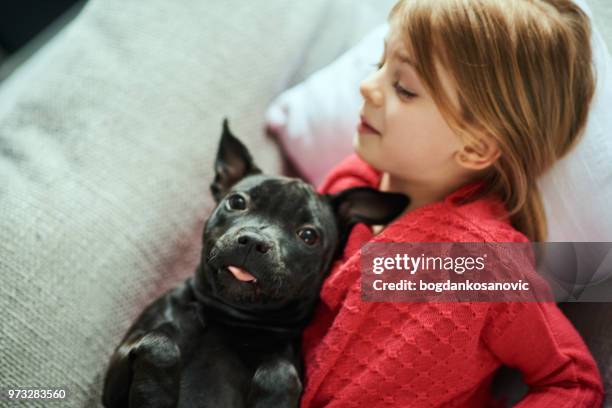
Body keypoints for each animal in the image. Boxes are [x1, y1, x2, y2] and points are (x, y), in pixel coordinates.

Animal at [101, 119, 406, 406]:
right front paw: (154, 396)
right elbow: (159, 341)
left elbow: (280, 371)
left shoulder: (286, 361)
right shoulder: (117, 376)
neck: (227, 317)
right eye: (237, 202)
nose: (253, 241)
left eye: (308, 236)